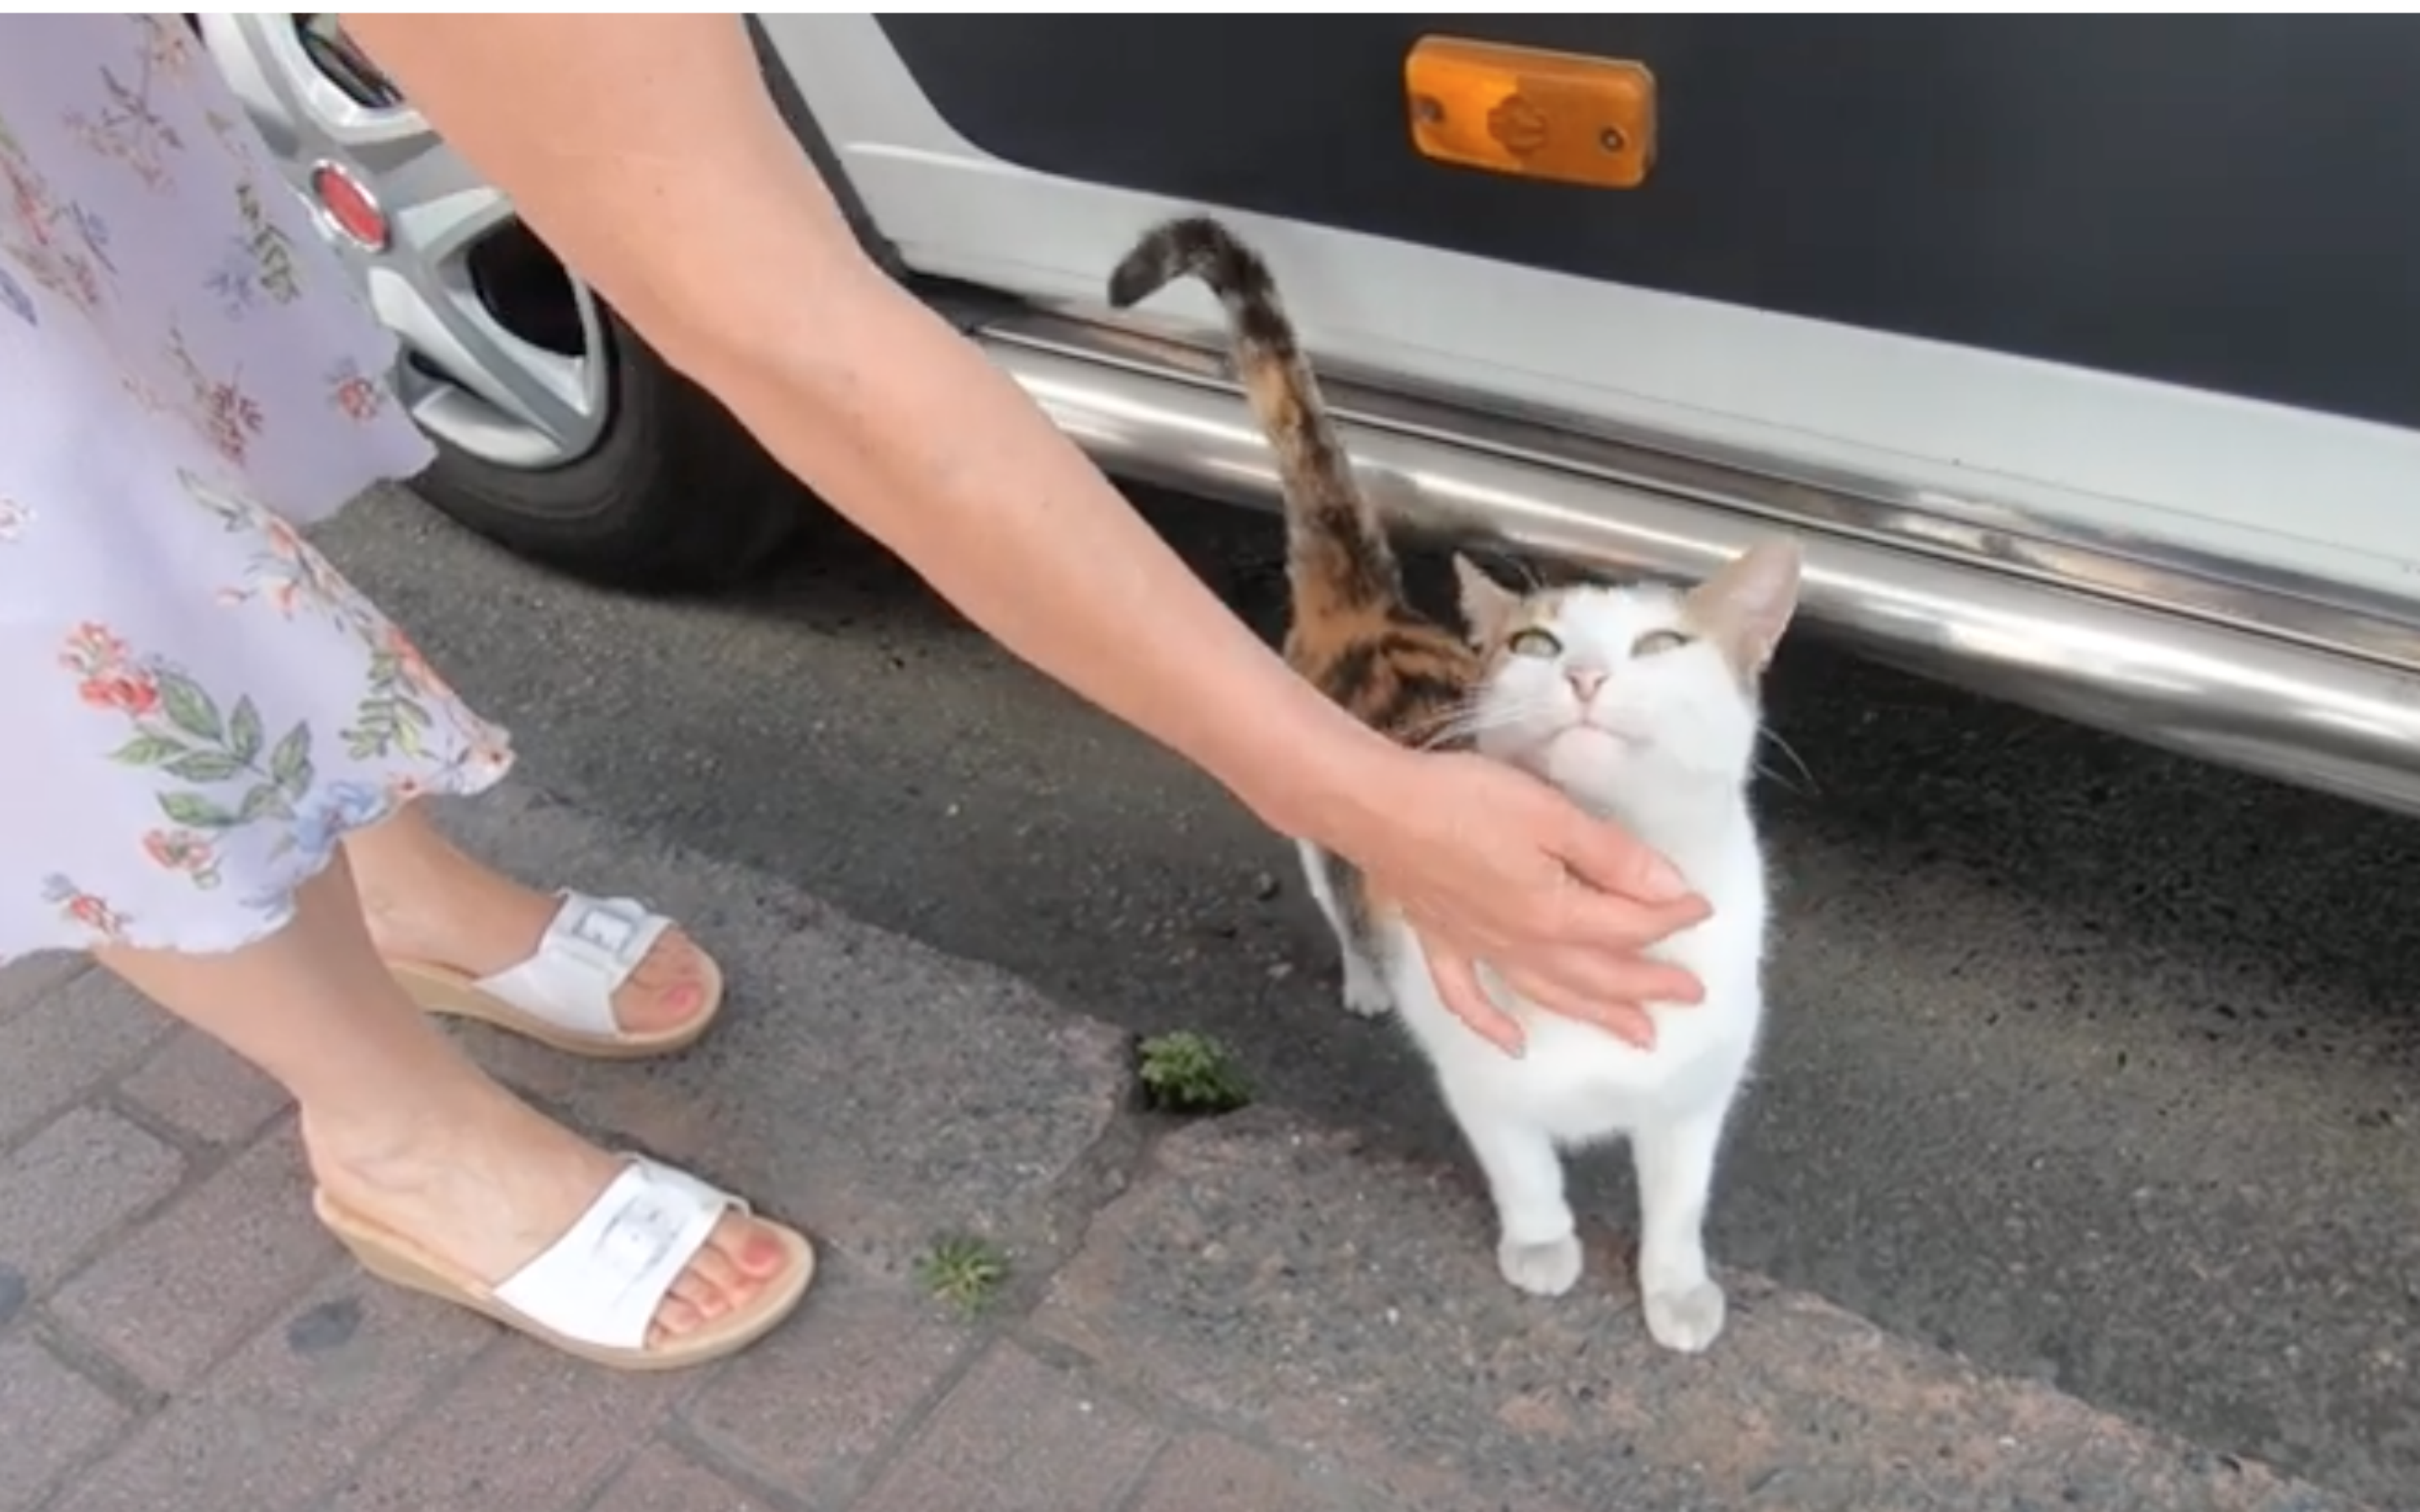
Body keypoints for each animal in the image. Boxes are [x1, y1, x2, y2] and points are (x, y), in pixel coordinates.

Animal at [1108, 209, 1810, 1345]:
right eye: (1534, 642)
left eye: (1660, 644)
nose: (1584, 673)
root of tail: (1378, 612)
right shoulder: (1483, 1075)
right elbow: (1525, 1168)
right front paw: (1542, 1250)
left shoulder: (1693, 1095)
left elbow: (1678, 1199)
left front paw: (1676, 1291)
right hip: (1319, 823)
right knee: (1341, 903)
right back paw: (1365, 982)